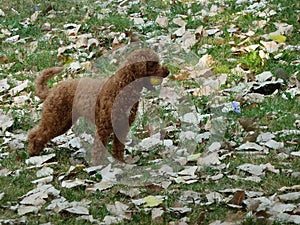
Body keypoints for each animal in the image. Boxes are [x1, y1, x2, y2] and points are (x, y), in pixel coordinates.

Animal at [27, 49, 169, 164]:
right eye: (153, 64)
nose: (167, 71)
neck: (122, 87)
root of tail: (52, 91)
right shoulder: (103, 127)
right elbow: (99, 149)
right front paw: (98, 165)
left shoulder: (122, 127)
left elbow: (118, 148)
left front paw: (120, 162)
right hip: (55, 118)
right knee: (36, 134)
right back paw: (33, 152)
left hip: (63, 122)